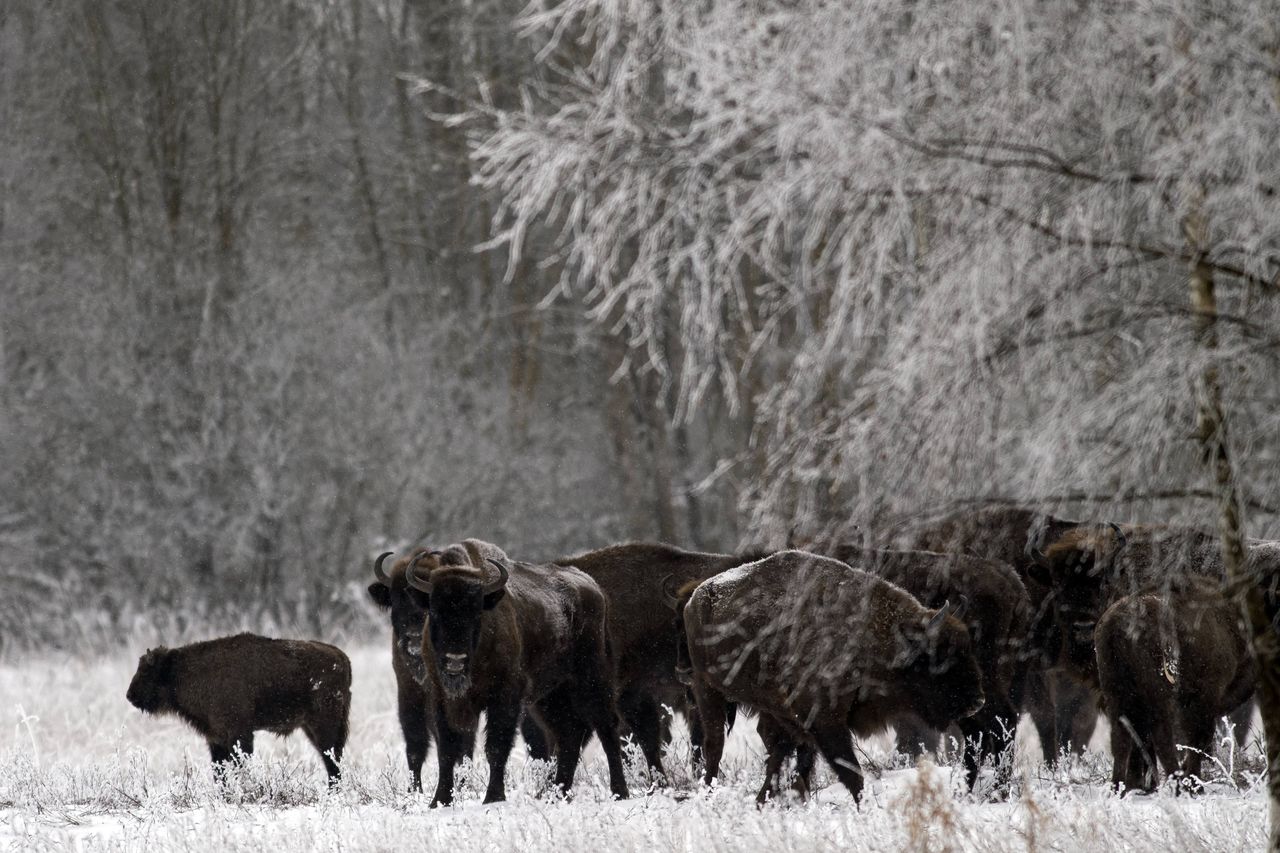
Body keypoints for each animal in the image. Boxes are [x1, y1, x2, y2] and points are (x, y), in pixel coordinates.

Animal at [127, 627, 353, 778]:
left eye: (147, 672)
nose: (130, 695)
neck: (178, 671)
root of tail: (341, 657)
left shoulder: (239, 734)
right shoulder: (216, 738)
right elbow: (219, 773)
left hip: (323, 726)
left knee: (332, 760)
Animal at [675, 548, 983, 799]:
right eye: (939, 657)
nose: (977, 701)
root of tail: (696, 599)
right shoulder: (826, 722)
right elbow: (850, 773)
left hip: (769, 705)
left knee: (773, 747)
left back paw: (765, 798)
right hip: (707, 690)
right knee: (714, 744)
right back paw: (710, 793)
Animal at [1095, 578, 1254, 788]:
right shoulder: (1204, 697)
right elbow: (1197, 740)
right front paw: (1194, 783)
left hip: (1116, 694)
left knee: (1122, 738)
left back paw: (1120, 787)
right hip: (1158, 695)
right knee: (1161, 737)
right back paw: (1178, 782)